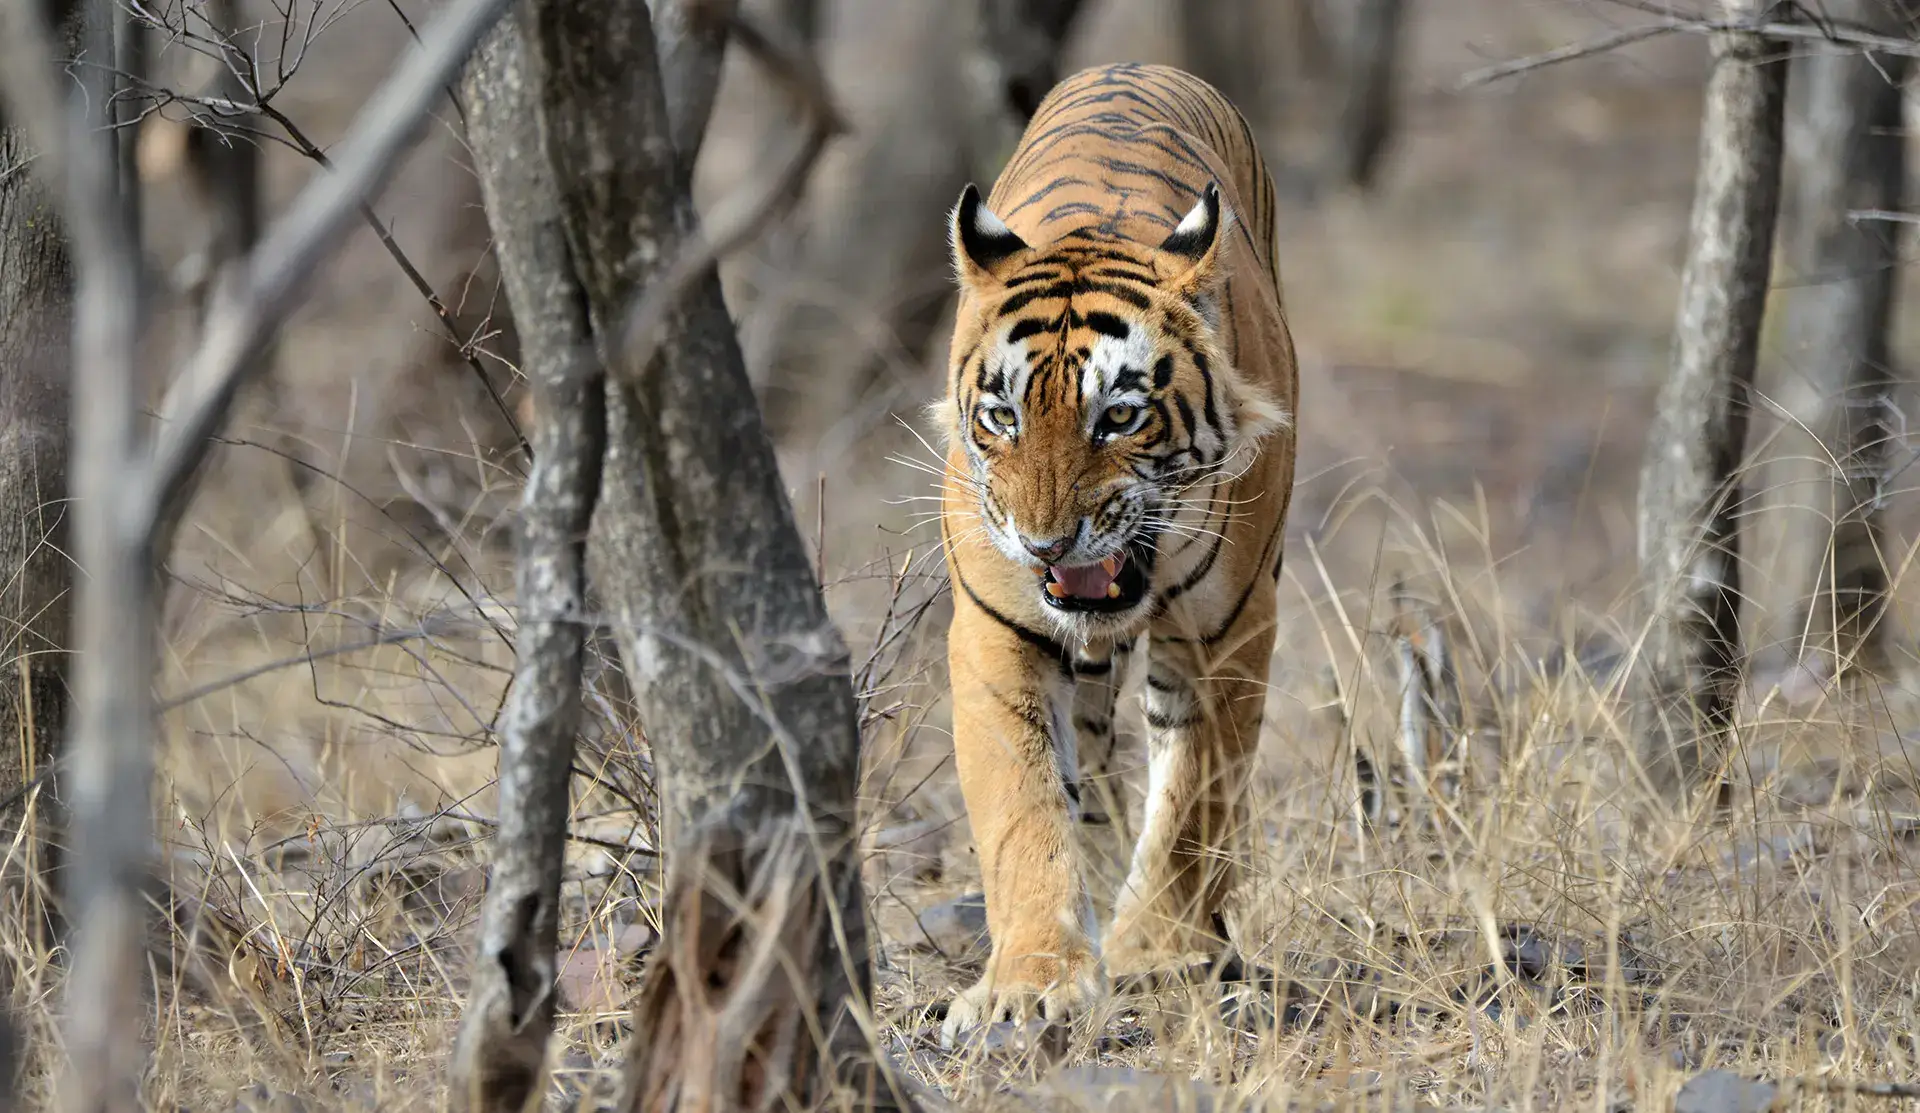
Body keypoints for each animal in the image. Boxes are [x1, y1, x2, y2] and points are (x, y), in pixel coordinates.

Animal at [933, 60, 1305, 1036]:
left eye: (1121, 416)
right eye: (1003, 417)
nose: (1044, 542)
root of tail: (1133, 63)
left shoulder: (1230, 626)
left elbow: (1192, 802)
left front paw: (1160, 952)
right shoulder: (998, 629)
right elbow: (1023, 807)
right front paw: (1031, 980)